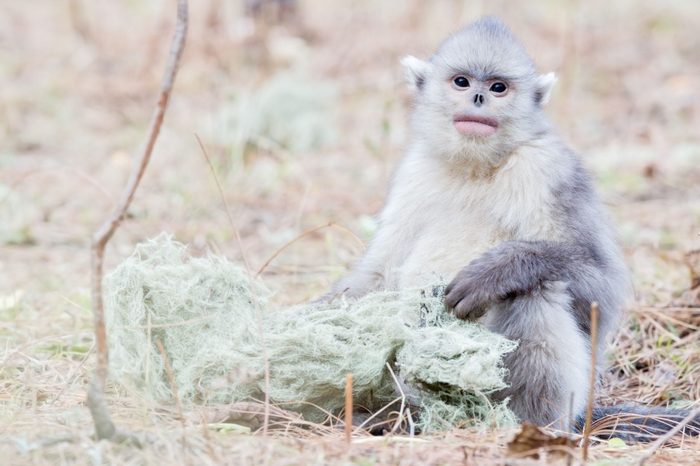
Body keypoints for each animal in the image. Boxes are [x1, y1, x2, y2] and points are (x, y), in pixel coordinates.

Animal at [328, 17, 699, 439]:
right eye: (462, 82)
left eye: (498, 88)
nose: (478, 98)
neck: (475, 168)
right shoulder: (414, 172)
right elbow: (378, 274)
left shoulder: (550, 167)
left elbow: (603, 285)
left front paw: (495, 272)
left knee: (535, 291)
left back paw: (520, 424)